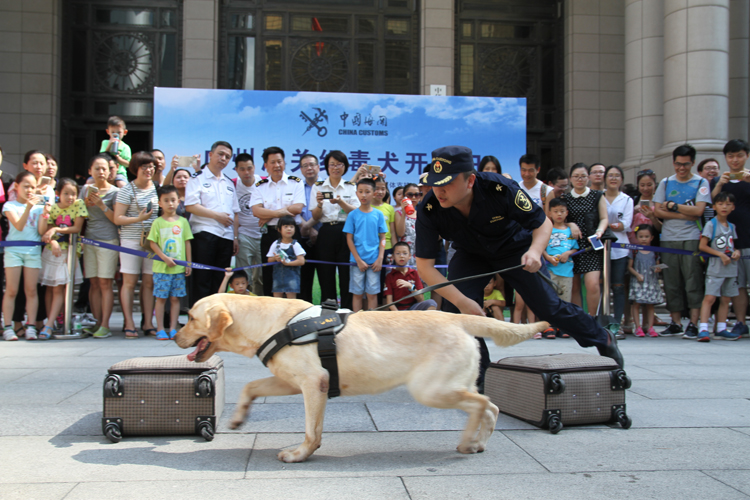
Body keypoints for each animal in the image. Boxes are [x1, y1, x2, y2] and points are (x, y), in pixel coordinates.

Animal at [177, 294, 552, 462]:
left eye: (191, 317)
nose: (176, 336)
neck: (271, 323)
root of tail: (456, 318)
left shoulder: (314, 383)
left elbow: (312, 430)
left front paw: (301, 454)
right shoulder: (291, 380)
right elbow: (251, 386)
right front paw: (239, 417)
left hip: (431, 389)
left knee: (483, 403)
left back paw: (466, 442)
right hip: (452, 384)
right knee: (490, 407)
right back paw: (478, 442)